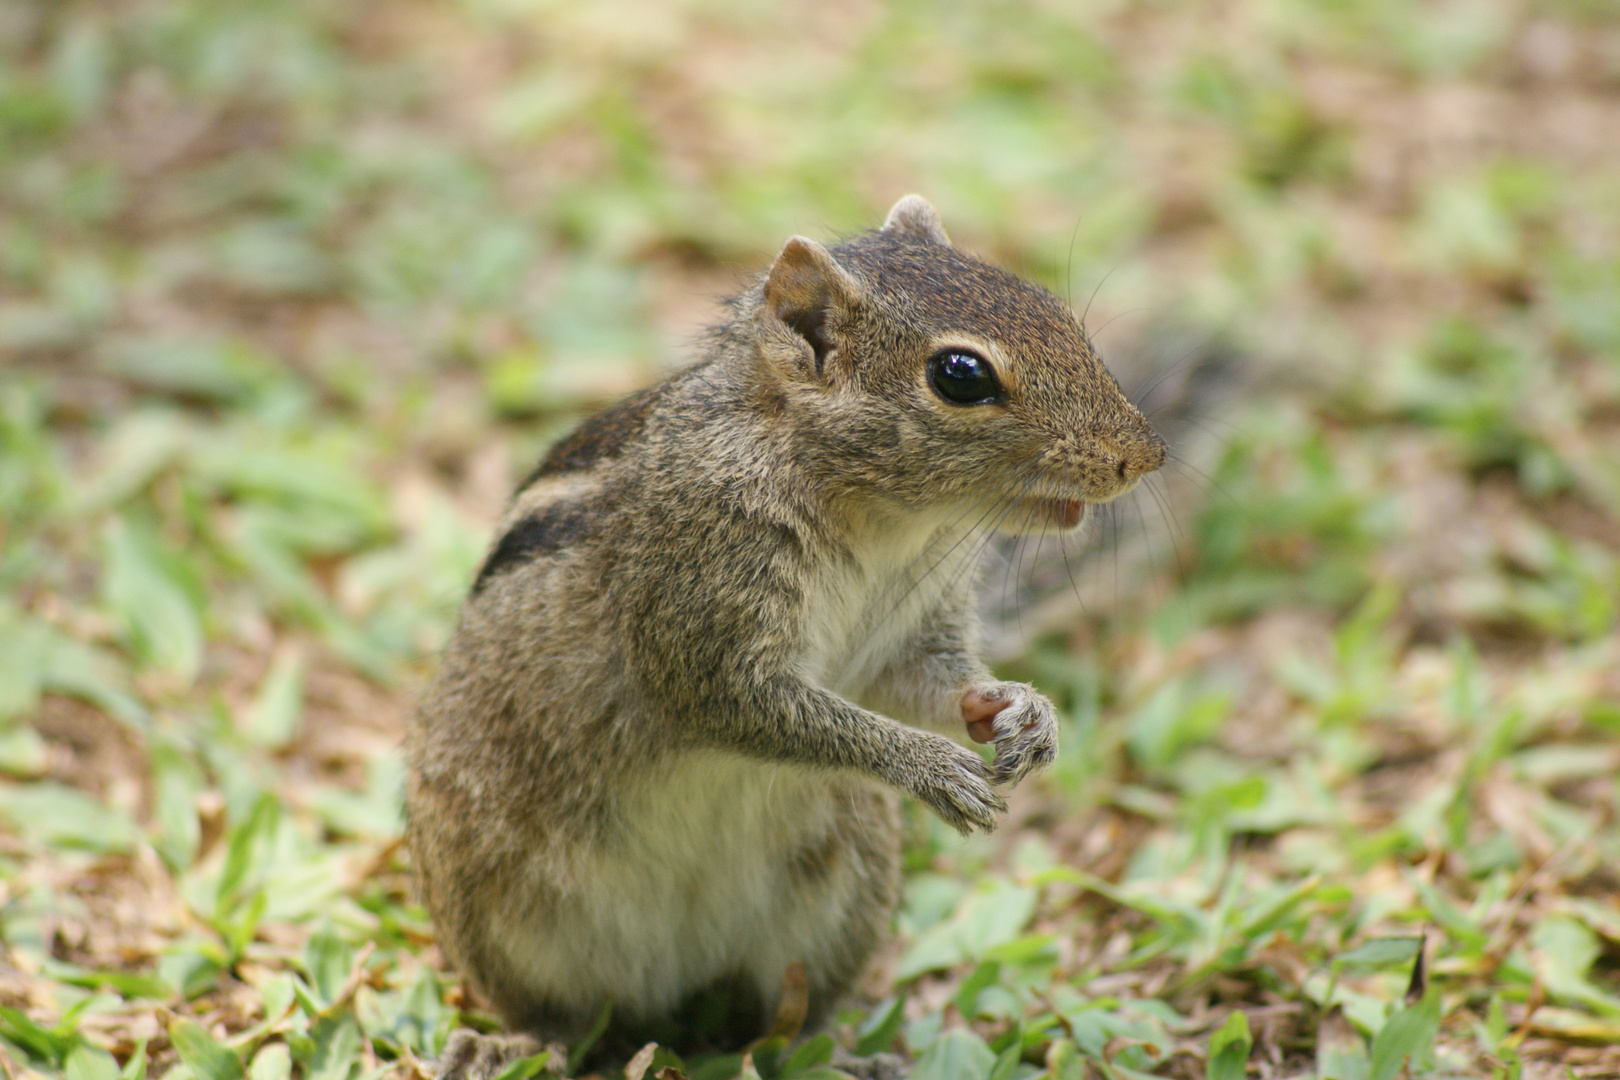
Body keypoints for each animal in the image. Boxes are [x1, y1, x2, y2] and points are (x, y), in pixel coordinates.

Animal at [405, 198, 1166, 1075]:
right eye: (961, 376)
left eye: (1055, 311)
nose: (1145, 455)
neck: (882, 515)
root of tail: (669, 986)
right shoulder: (700, 607)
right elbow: (741, 701)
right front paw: (931, 766)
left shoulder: (915, 625)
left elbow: (923, 682)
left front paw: (1021, 715)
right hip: (492, 899)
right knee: (560, 1015)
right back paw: (514, 1046)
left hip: (844, 893)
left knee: (783, 1015)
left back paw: (835, 1052)